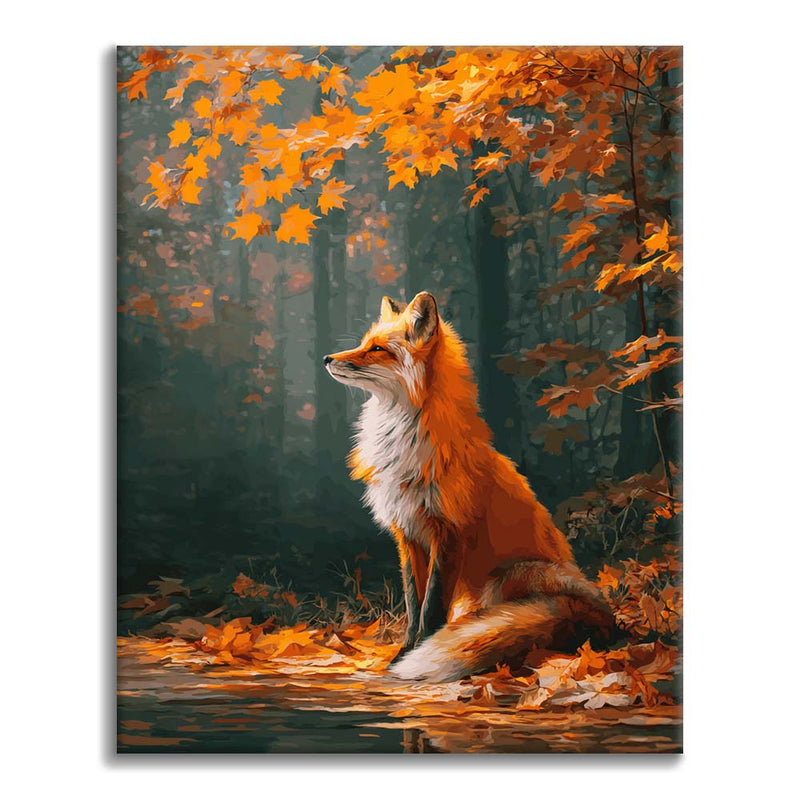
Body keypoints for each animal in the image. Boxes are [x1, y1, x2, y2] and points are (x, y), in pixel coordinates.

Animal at [324, 291, 617, 682]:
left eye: (378, 349)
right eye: (362, 343)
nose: (327, 358)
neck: (402, 445)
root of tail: (599, 613)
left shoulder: (448, 532)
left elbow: (431, 606)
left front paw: (415, 653)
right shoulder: (408, 534)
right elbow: (413, 602)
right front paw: (404, 651)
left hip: (513, 574)